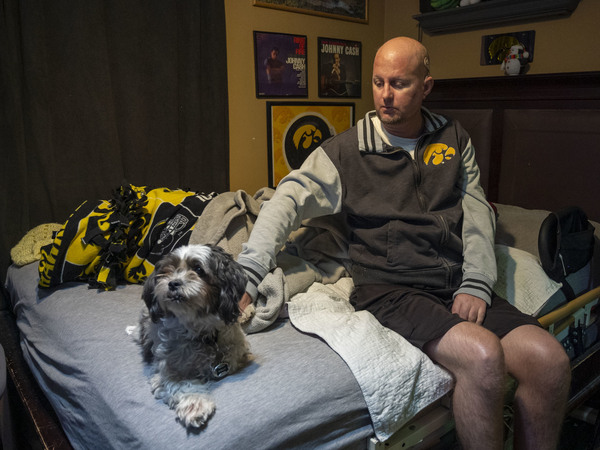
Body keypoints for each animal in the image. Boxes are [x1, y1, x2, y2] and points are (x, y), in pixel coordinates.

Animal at [138, 244, 251, 428]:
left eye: (198, 269)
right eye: (168, 270)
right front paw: (195, 404)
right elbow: (181, 383)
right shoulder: (165, 370)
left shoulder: (237, 347)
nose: (173, 283)